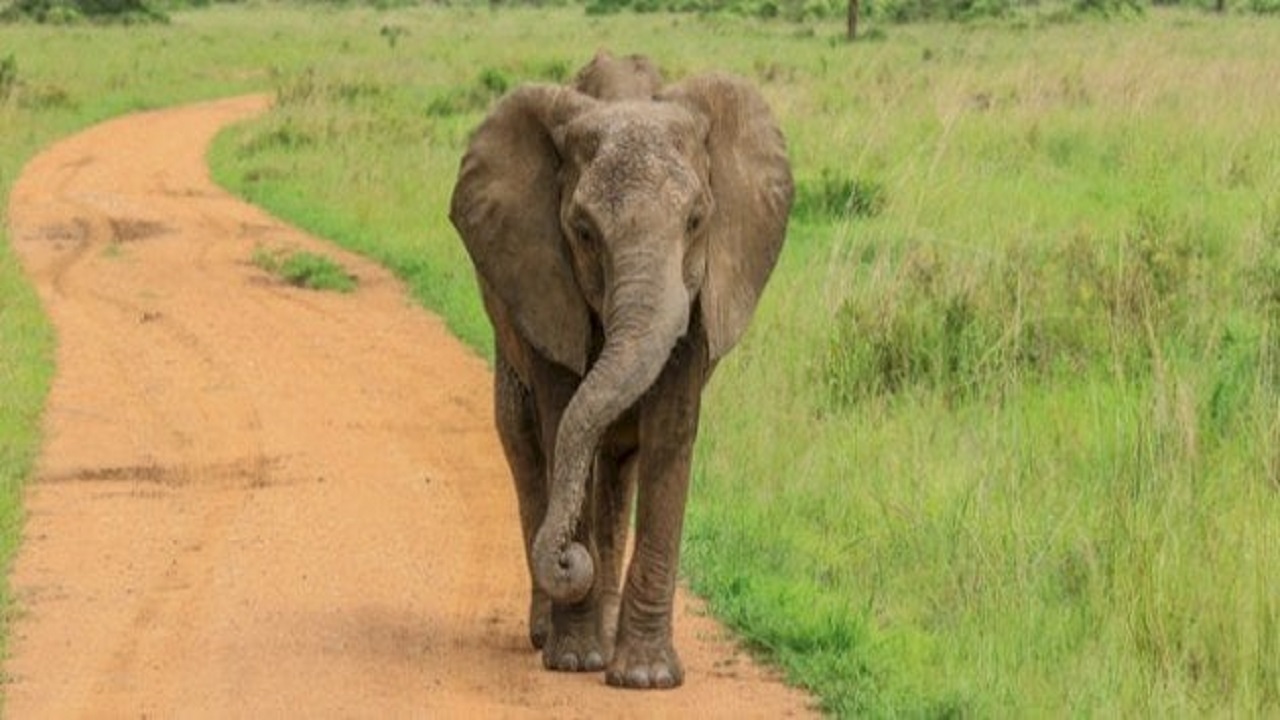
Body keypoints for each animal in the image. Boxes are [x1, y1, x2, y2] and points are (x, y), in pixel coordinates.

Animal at [448, 50, 788, 681]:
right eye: (583, 232)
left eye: (696, 222)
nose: (568, 560)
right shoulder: (545, 279)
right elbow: (562, 424)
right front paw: (576, 660)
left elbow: (669, 437)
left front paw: (645, 679)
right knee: (527, 446)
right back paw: (549, 634)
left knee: (616, 466)